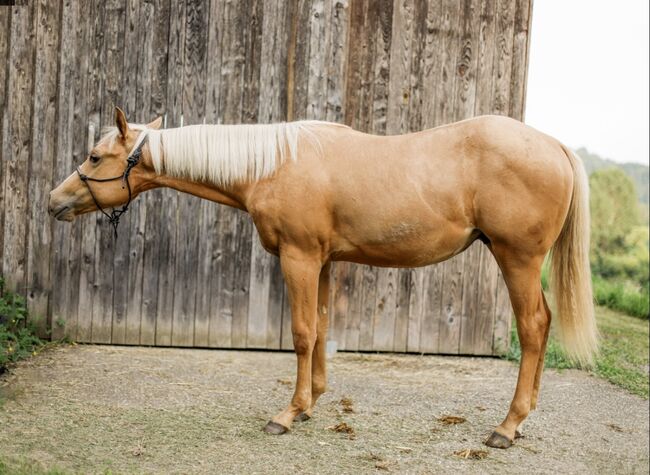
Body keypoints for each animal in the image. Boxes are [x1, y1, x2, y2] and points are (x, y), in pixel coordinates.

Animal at [49, 108, 596, 450]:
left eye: (95, 156)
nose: (54, 201)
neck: (273, 165)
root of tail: (555, 146)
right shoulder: (325, 262)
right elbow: (322, 329)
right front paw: (312, 403)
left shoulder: (300, 259)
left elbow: (301, 333)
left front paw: (287, 414)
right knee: (543, 324)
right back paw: (522, 421)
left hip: (517, 259)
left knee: (532, 327)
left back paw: (508, 425)